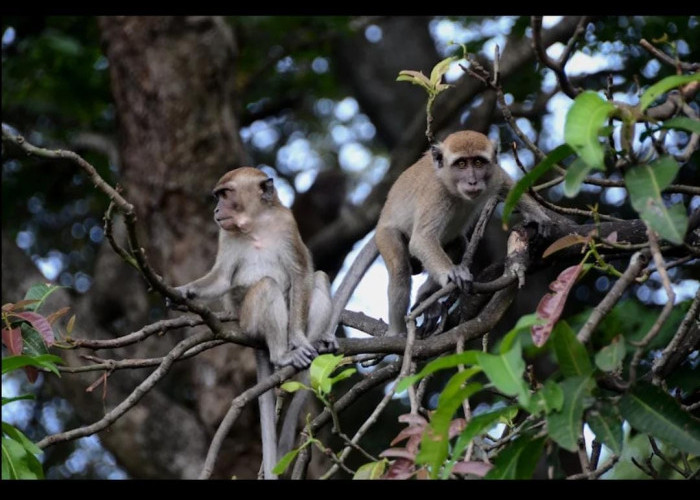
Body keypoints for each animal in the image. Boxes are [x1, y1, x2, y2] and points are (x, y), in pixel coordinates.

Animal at [170, 167, 337, 479]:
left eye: (225, 194)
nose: (216, 210)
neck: (256, 223)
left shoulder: (286, 223)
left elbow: (301, 274)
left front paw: (300, 338)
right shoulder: (225, 234)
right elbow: (222, 279)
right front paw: (184, 292)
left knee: (317, 280)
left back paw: (311, 344)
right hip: (250, 321)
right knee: (267, 287)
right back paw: (282, 355)